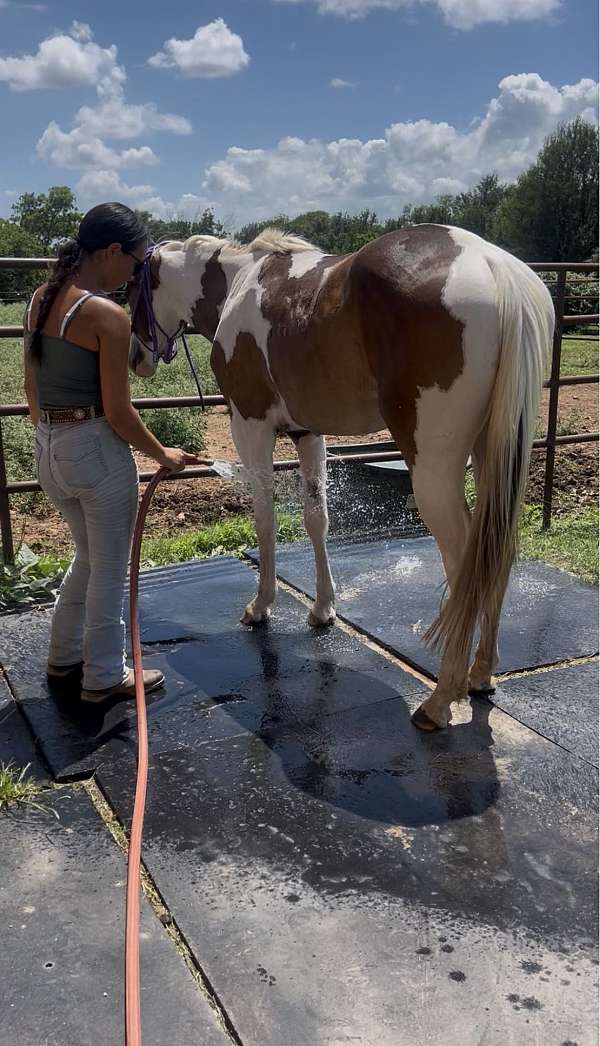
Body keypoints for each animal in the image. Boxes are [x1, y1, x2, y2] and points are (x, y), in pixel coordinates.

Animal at [128, 224, 554, 732]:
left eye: (131, 290)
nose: (136, 359)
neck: (238, 282)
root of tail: (491, 263)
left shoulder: (250, 427)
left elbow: (265, 519)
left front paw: (261, 606)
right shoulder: (307, 432)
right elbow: (317, 520)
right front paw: (322, 610)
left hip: (434, 469)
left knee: (465, 561)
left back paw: (439, 699)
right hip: (494, 453)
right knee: (495, 552)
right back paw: (482, 674)